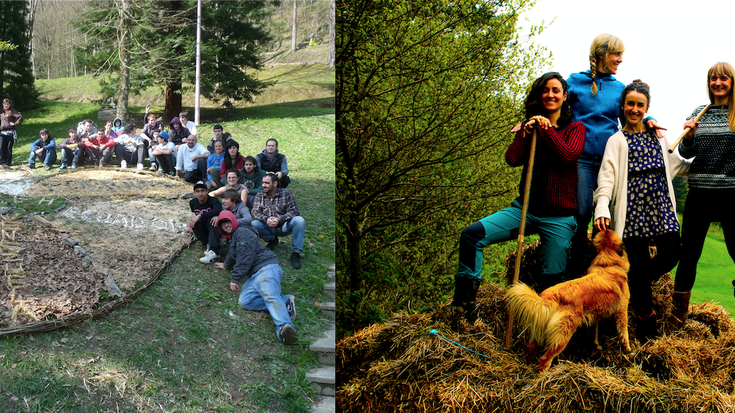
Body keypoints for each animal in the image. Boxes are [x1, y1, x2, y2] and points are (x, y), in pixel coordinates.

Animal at [506, 229, 632, 370]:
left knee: (530, 348)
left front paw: (596, 345)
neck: (606, 264)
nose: (605, 227)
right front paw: (628, 349)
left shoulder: (596, 315)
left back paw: (526, 367)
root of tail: (550, 297)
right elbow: (624, 331)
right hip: (563, 335)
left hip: (540, 331)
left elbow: (595, 332)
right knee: (544, 360)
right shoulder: (622, 310)